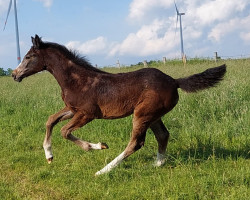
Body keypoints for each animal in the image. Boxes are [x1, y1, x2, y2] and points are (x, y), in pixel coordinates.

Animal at [12, 34, 227, 175]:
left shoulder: (87, 113)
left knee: (136, 143)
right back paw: (157, 164)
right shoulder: (73, 109)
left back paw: (104, 170)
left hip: (142, 114)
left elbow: (64, 131)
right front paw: (49, 155)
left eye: (28, 57)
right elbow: (50, 120)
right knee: (163, 135)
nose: (14, 74)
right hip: (153, 115)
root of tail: (175, 81)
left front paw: (96, 146)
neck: (77, 80)